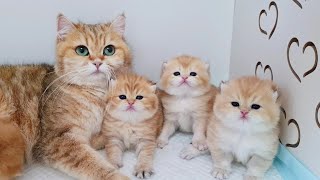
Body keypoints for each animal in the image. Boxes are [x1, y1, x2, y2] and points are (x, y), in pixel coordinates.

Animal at [32, 13, 131, 179]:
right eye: (82, 50)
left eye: (109, 50)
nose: (97, 62)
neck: (95, 94)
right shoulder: (57, 140)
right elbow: (95, 164)